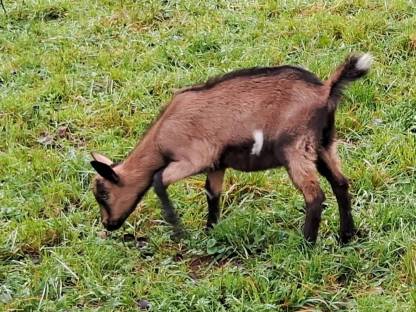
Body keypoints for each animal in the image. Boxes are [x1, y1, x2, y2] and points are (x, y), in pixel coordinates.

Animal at [91, 53, 374, 244]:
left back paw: (306, 244)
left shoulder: (194, 158)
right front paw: (210, 230)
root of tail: (325, 90)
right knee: (340, 183)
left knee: (315, 195)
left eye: (103, 194)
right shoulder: (217, 164)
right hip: (323, 145)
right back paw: (346, 235)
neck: (162, 134)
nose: (108, 224)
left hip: (295, 147)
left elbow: (158, 179)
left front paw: (179, 231)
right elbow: (212, 194)